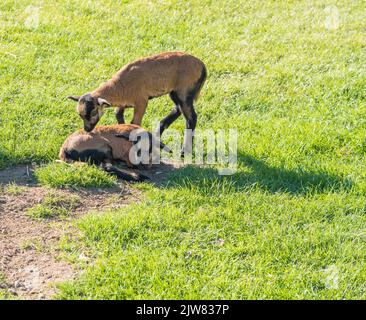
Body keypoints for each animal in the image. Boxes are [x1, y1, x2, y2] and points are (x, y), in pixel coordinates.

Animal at [68, 51, 206, 154]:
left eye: (92, 113)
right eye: (80, 115)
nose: (87, 129)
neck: (120, 86)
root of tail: (203, 67)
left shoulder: (141, 101)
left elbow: (135, 122)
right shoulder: (123, 104)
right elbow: (118, 115)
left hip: (184, 92)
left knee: (191, 118)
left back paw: (184, 151)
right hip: (175, 92)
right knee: (178, 110)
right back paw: (158, 135)